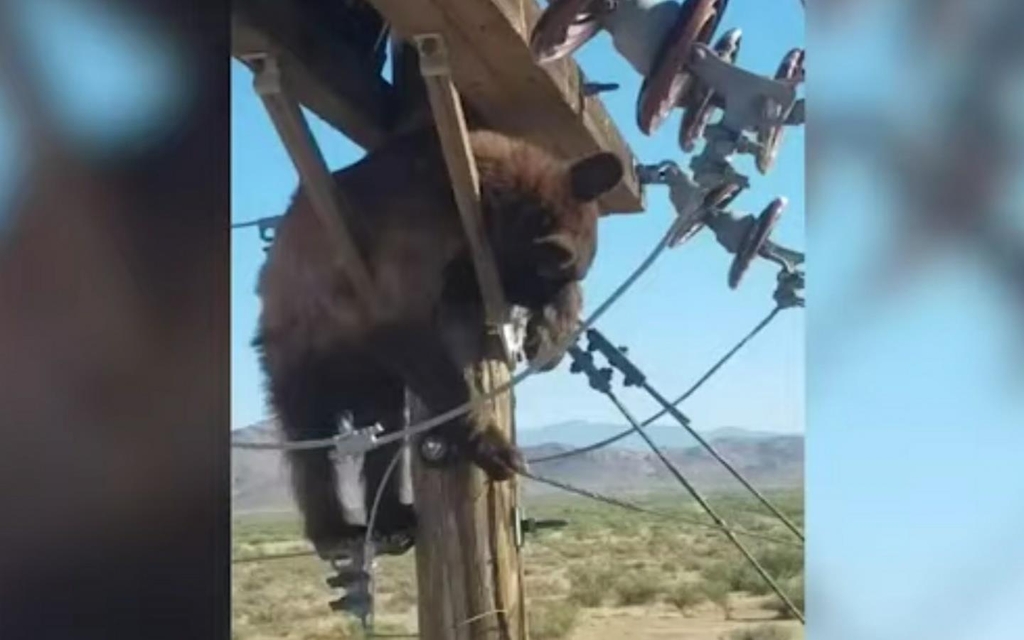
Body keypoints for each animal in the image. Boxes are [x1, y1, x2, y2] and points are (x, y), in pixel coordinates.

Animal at [256, 125, 622, 552]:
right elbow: (407, 324)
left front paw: (550, 336)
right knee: (311, 442)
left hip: (375, 383)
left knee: (385, 432)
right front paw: (493, 446)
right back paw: (334, 529)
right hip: (302, 358)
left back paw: (392, 516)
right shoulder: (417, 231)